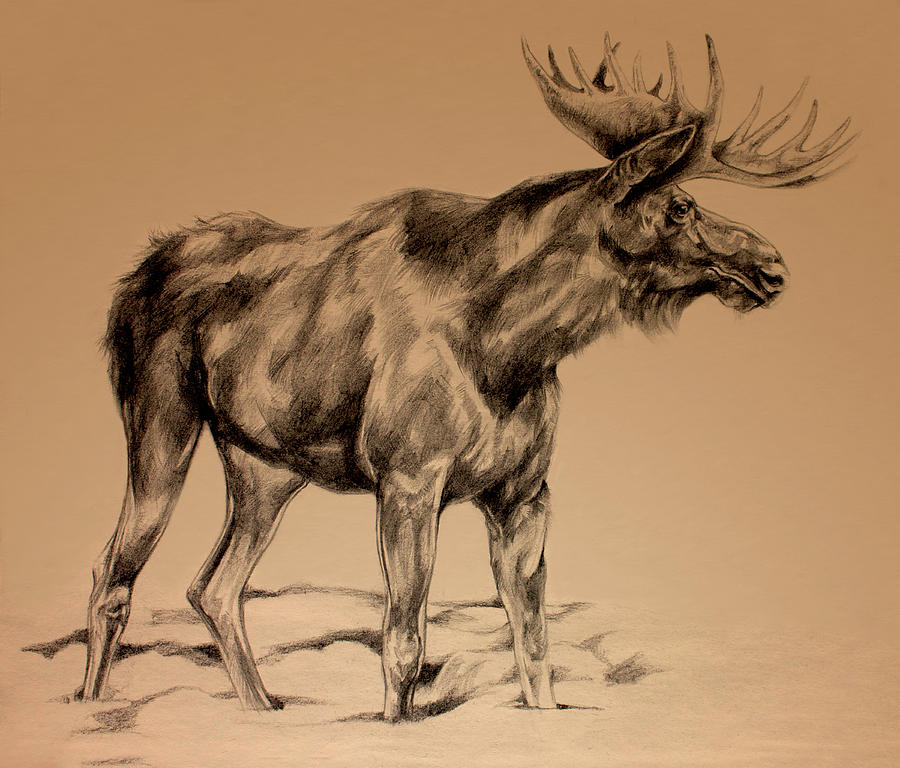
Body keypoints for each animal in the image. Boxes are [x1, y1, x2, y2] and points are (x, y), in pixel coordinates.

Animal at [75, 34, 853, 721]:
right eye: (680, 205)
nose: (771, 266)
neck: (511, 345)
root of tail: (133, 278)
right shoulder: (409, 479)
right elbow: (403, 644)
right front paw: (394, 725)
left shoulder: (523, 491)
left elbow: (534, 648)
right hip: (161, 425)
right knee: (113, 570)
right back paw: (90, 704)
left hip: (265, 468)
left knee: (214, 586)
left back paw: (262, 706)